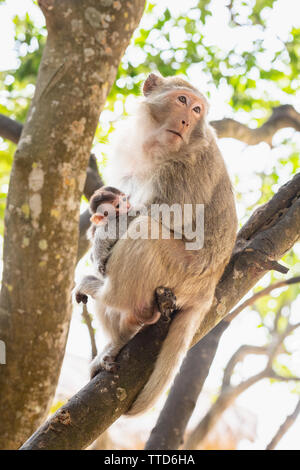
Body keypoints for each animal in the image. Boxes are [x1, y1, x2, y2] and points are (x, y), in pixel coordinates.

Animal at [85, 73, 237, 414]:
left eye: (197, 109)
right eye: (182, 100)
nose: (186, 120)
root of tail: (208, 290)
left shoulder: (186, 167)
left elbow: (158, 215)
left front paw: (100, 241)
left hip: (181, 272)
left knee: (145, 230)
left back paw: (110, 298)